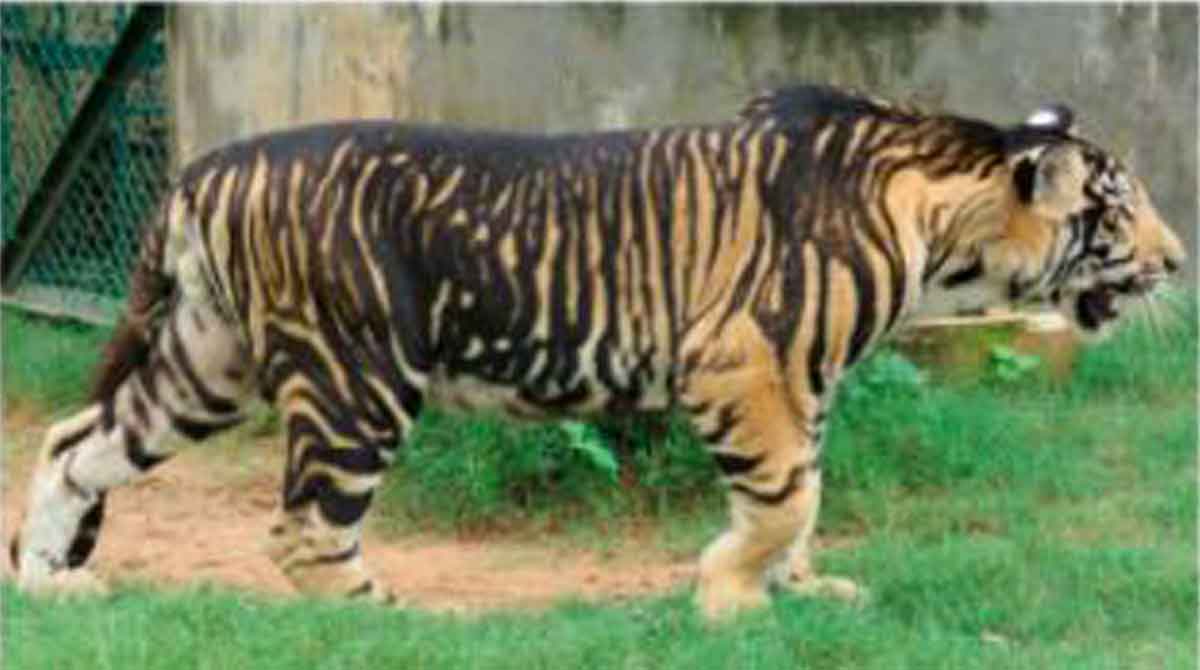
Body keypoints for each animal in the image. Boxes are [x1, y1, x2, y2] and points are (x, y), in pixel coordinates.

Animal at [12, 84, 1185, 620]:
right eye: (1120, 207)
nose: (1178, 262)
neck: (941, 228)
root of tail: (202, 165)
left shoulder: (802, 386)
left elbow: (808, 491)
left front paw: (801, 591)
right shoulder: (743, 367)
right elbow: (786, 496)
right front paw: (731, 598)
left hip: (203, 365)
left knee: (76, 440)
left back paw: (47, 584)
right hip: (353, 381)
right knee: (303, 528)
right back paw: (392, 620)